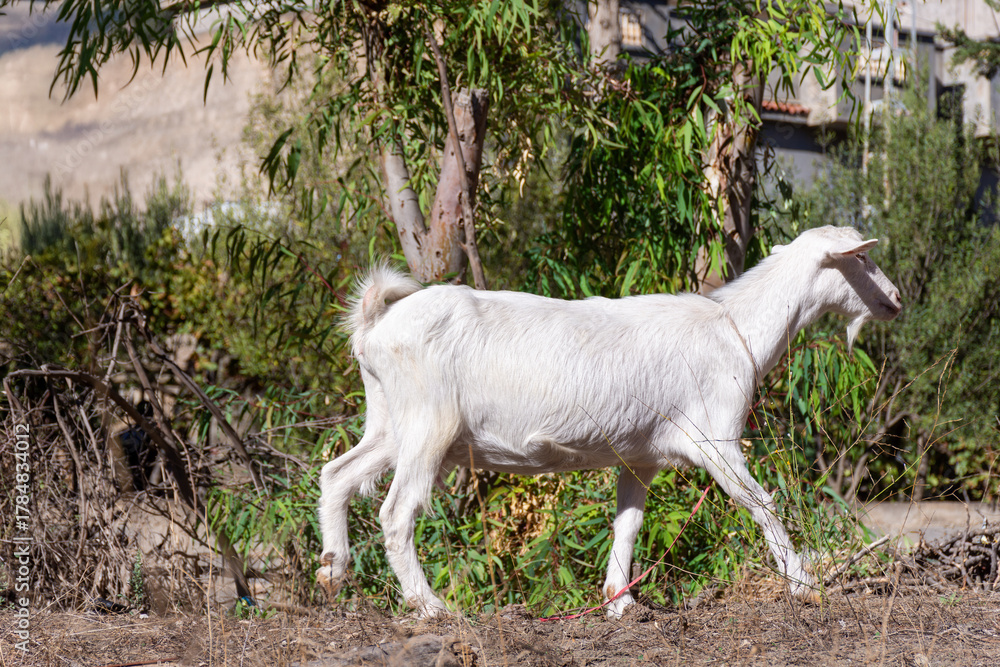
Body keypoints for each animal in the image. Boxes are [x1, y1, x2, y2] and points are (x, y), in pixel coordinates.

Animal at [317, 225, 902, 617]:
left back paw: (332, 569)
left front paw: (619, 603)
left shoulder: (639, 456)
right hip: (427, 426)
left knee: (337, 474)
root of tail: (374, 326)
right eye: (863, 259)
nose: (896, 299)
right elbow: (760, 503)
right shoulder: (716, 439)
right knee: (396, 513)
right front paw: (802, 582)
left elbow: (628, 523)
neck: (735, 326)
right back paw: (429, 606)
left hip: (390, 423)